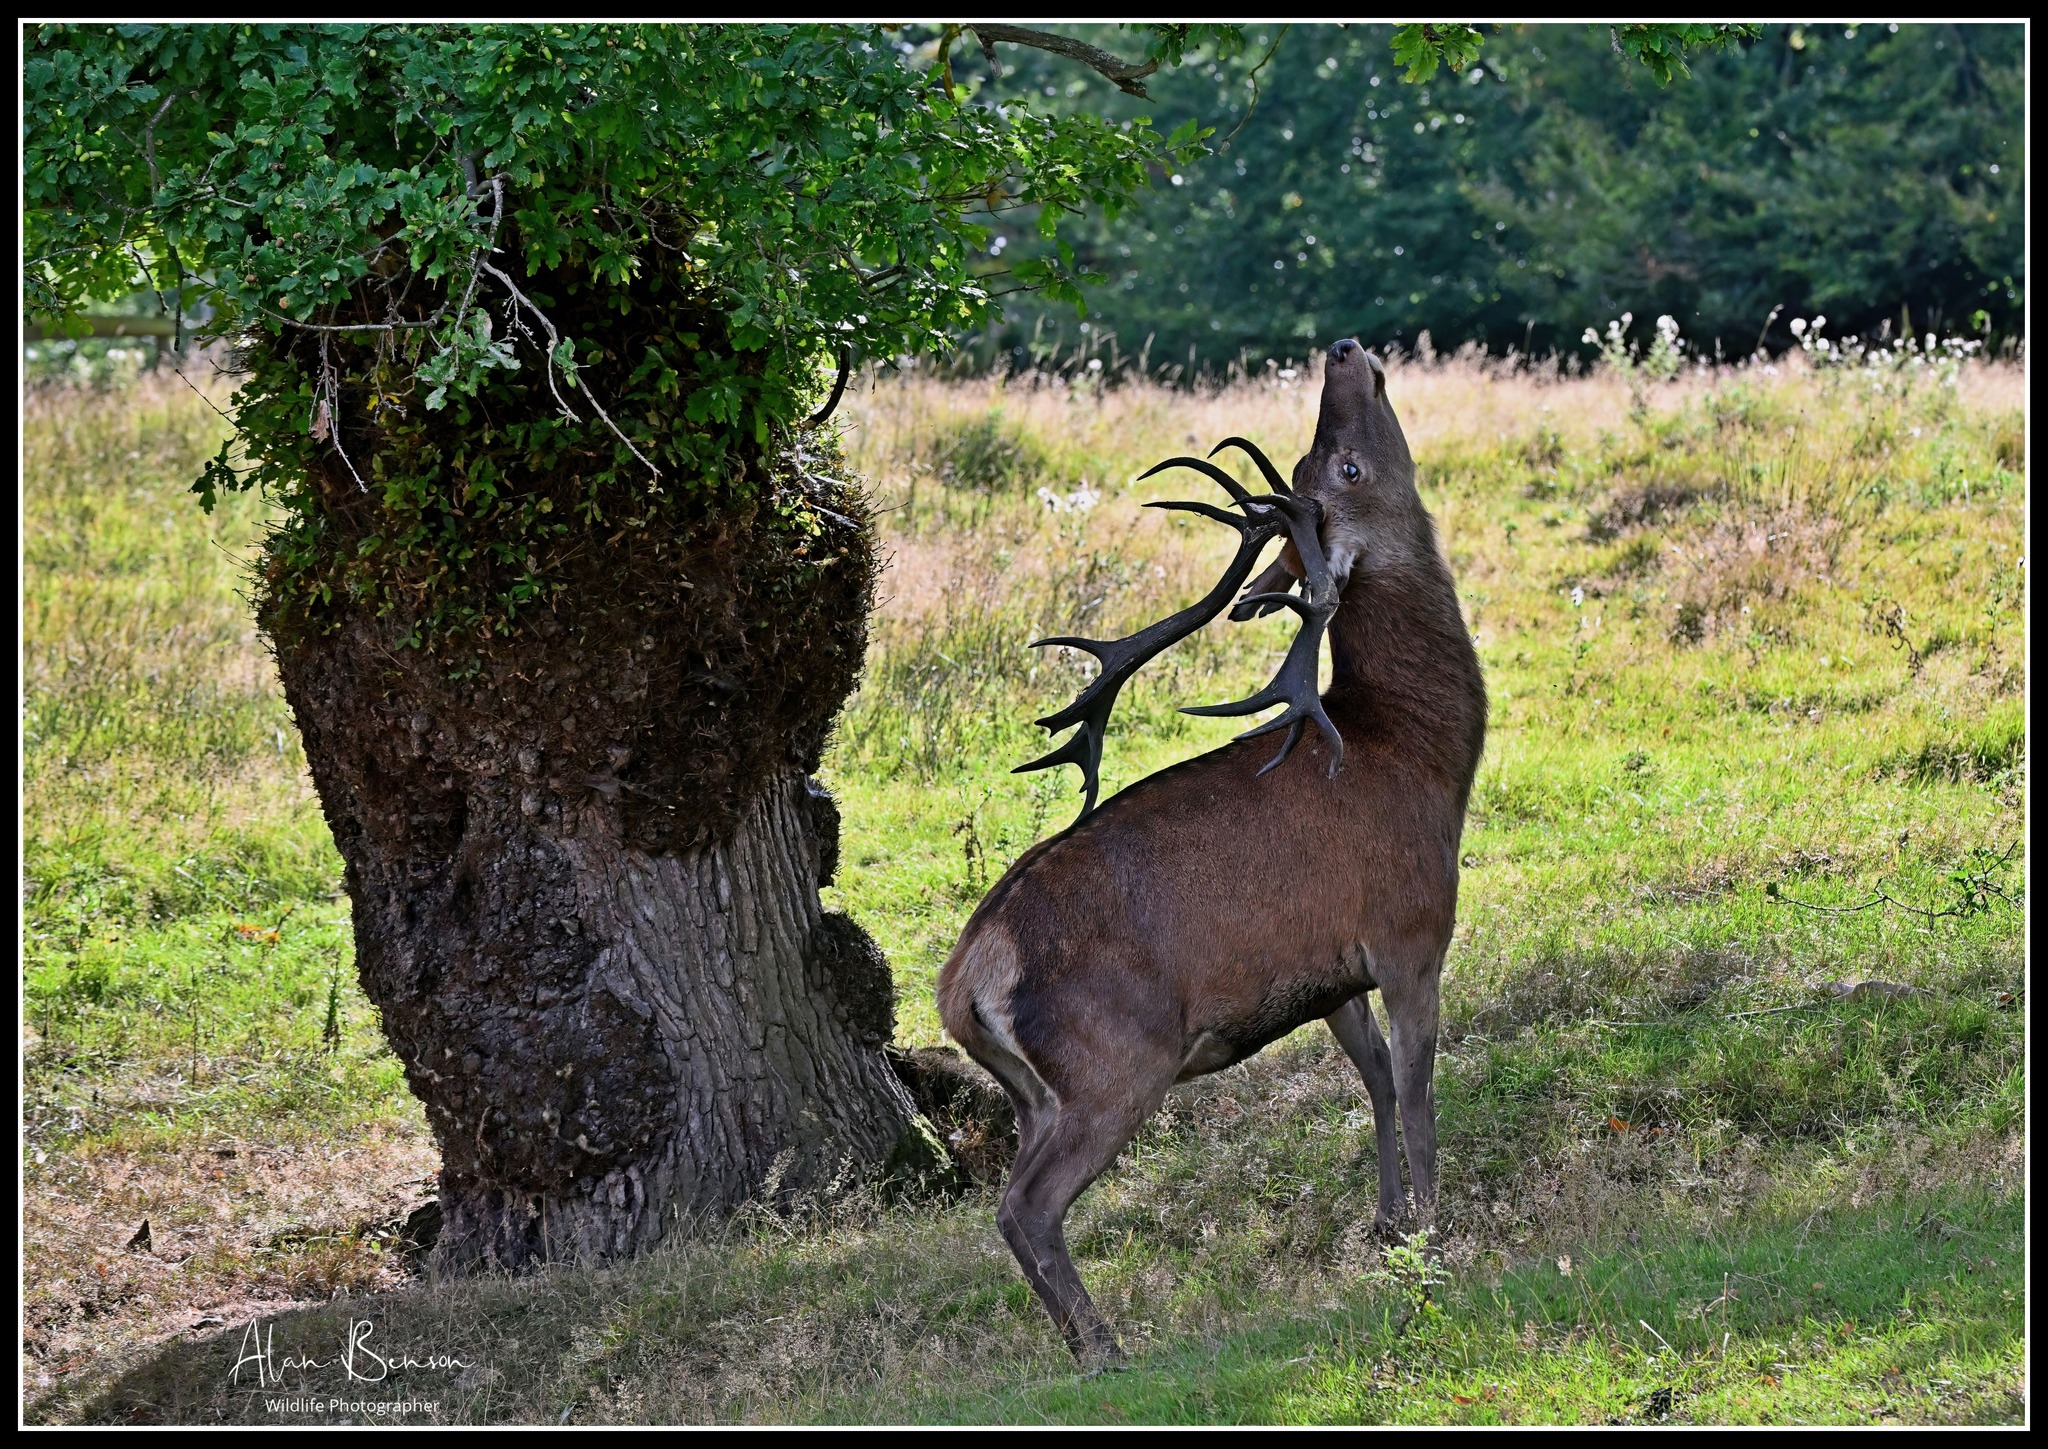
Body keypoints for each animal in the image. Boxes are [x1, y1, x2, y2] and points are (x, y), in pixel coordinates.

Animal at [936, 338, 1487, 1365]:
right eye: (1345, 466)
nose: (1343, 349)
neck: (1424, 754)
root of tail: (959, 983)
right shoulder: (1409, 929)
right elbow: (1420, 1086)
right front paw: (1436, 1241)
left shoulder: (1329, 972)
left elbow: (1375, 1077)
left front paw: (1389, 1222)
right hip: (1117, 1060)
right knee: (1024, 1204)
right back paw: (1103, 1348)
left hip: (1034, 1091)